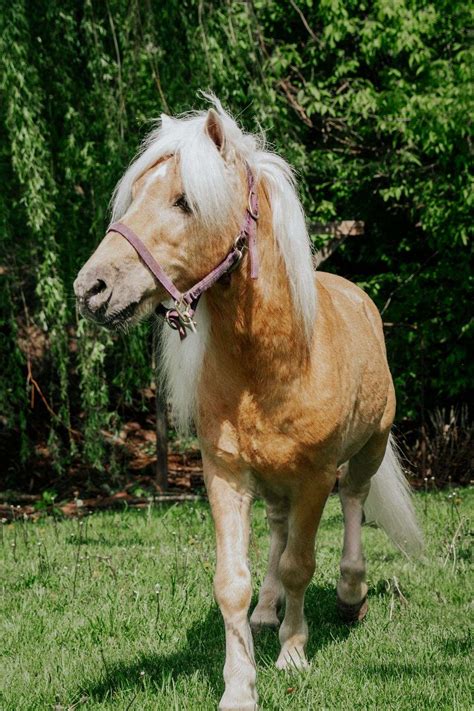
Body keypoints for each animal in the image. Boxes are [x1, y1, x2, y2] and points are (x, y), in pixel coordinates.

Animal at [74, 98, 422, 711]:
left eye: (184, 200)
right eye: (135, 194)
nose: (91, 288)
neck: (272, 363)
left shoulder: (314, 476)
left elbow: (302, 564)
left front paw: (293, 654)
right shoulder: (226, 474)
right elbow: (232, 582)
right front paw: (240, 684)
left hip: (368, 450)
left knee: (353, 504)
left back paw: (350, 594)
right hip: (274, 481)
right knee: (278, 534)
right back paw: (267, 610)